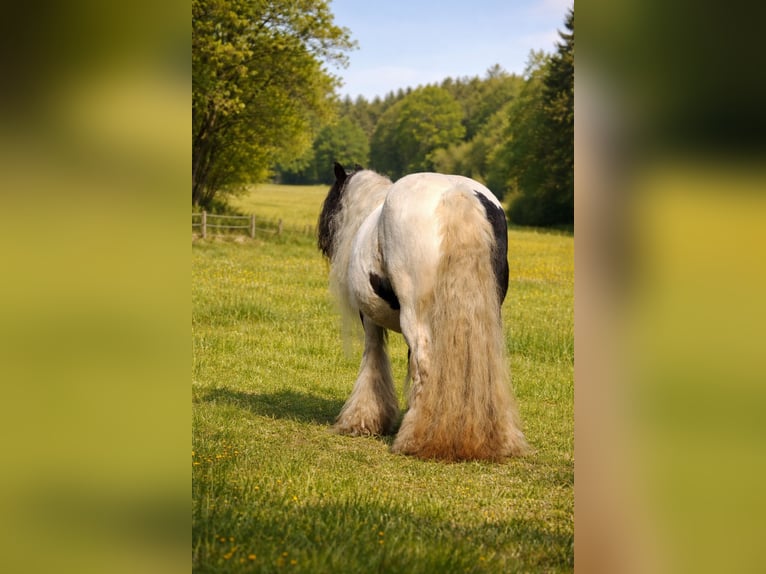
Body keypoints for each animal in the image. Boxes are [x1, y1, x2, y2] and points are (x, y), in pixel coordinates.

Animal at [318, 163, 528, 461]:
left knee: (424, 362)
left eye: (331, 200)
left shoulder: (369, 319)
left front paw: (362, 420)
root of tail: (456, 194)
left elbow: (374, 359)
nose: (323, 240)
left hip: (415, 318)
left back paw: (416, 438)